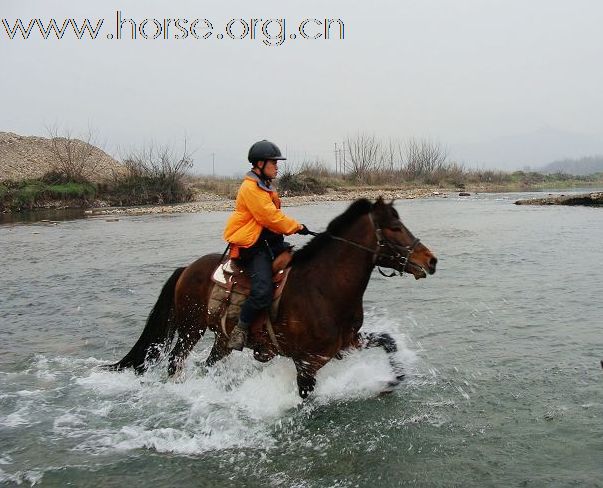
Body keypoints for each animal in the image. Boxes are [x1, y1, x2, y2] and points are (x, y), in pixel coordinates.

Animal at [106, 196, 436, 398]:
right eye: (395, 227)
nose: (431, 260)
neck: (324, 288)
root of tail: (186, 269)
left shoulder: (348, 343)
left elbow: (388, 341)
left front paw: (393, 380)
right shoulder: (307, 363)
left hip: (222, 339)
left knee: (208, 364)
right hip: (190, 329)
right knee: (176, 361)